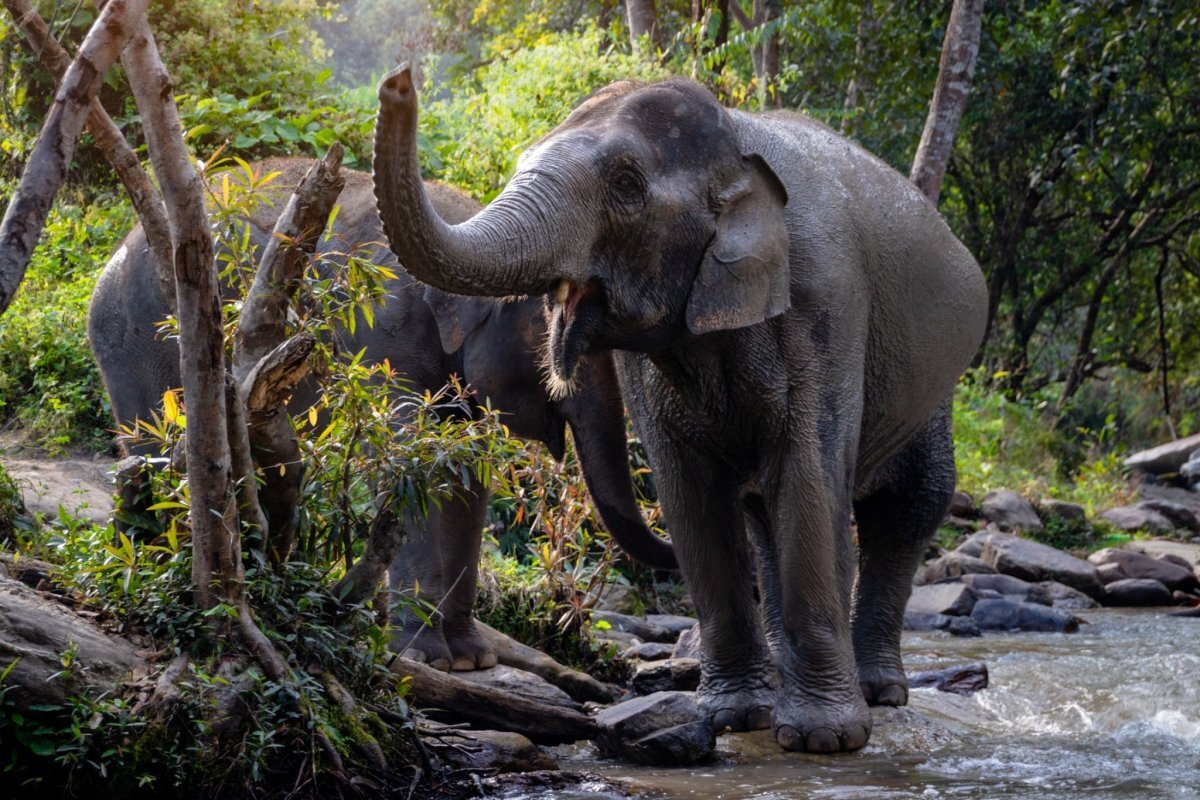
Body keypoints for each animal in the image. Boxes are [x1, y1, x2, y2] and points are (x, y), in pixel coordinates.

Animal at [87, 160, 676, 676]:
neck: (473, 227)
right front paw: (429, 659)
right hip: (141, 341)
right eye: (556, 325)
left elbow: (463, 479)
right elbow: (406, 464)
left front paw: (473, 660)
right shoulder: (378, 336)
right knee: (155, 454)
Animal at [372, 67, 984, 753]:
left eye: (626, 184)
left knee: (910, 505)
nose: (397, 83)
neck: (737, 140)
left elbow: (808, 476)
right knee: (762, 512)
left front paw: (823, 739)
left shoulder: (825, 302)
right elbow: (690, 495)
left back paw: (880, 694)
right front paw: (734, 719)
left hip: (936, 389)